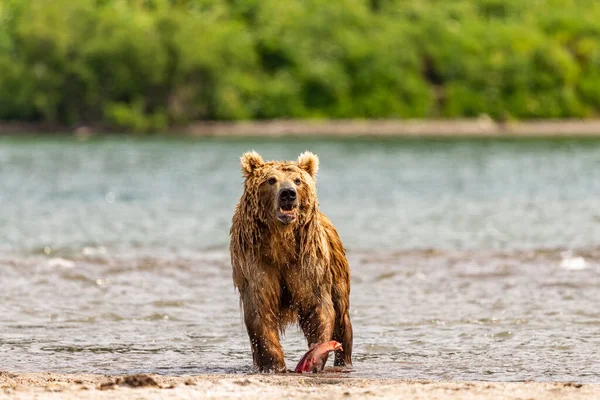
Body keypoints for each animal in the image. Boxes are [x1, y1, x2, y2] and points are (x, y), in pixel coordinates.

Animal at [229, 152, 352, 374]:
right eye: (271, 180)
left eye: (297, 180)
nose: (288, 194)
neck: (281, 243)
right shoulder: (256, 264)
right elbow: (260, 311)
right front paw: (274, 365)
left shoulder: (308, 264)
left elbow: (319, 307)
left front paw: (315, 358)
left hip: (337, 269)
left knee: (341, 316)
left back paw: (343, 360)